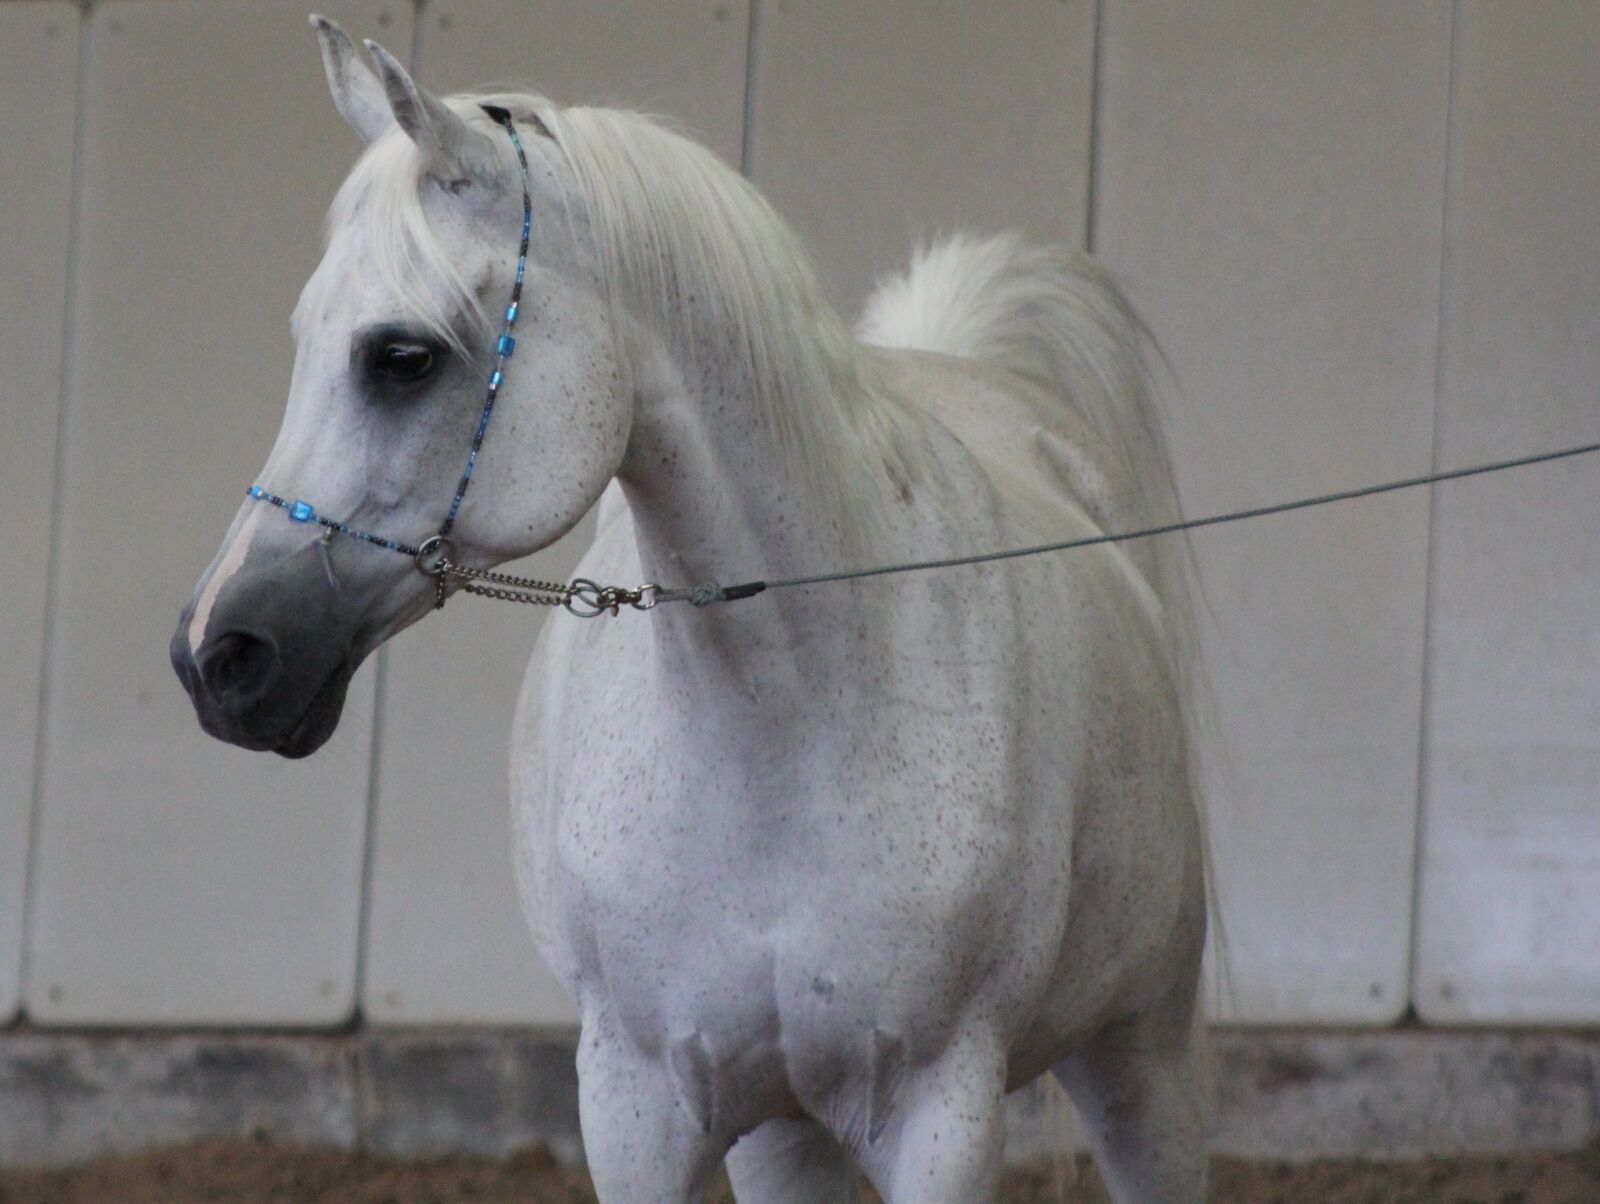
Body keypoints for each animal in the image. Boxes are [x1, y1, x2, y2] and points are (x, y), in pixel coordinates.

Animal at [171, 18, 1211, 1202]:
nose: (215, 655)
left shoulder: (943, 1112)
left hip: (1143, 1063)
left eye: (402, 355)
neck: (780, 728)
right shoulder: (639, 1107)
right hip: (785, 1133)